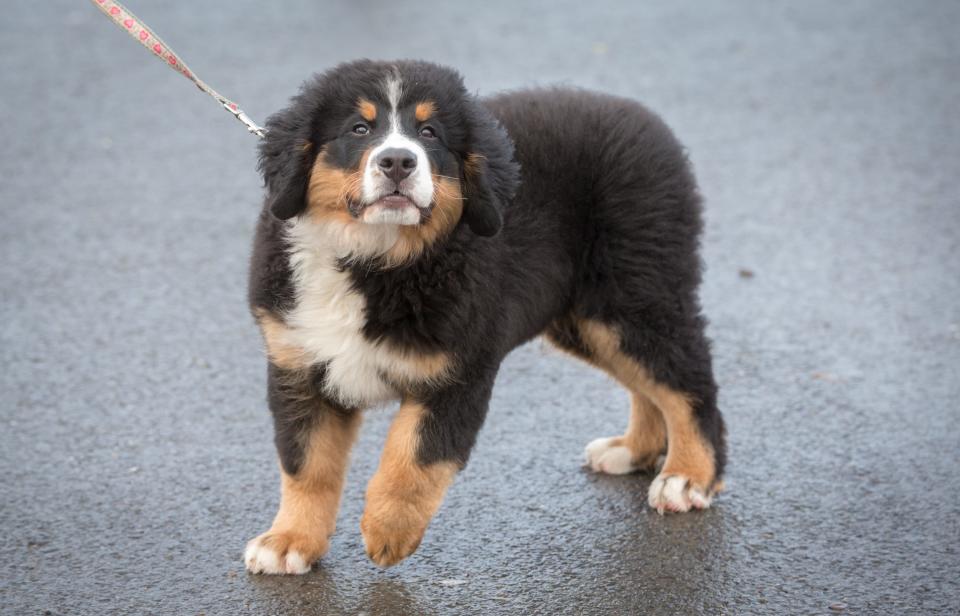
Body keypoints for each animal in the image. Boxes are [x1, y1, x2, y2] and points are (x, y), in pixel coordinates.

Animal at [244, 59, 724, 572]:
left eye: (429, 132)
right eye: (359, 128)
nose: (398, 162)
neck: (376, 258)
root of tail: (645, 119)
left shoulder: (460, 367)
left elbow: (416, 454)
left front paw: (388, 530)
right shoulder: (298, 363)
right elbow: (306, 464)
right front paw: (289, 541)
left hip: (632, 296)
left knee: (686, 381)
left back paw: (688, 477)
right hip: (587, 318)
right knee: (649, 382)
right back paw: (634, 450)